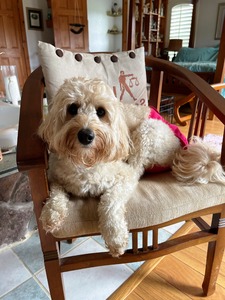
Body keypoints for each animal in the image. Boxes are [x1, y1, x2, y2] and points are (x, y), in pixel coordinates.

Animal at [38, 77, 225, 255]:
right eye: (72, 108)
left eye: (101, 111)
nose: (86, 135)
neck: (86, 161)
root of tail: (181, 148)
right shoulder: (55, 177)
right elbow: (56, 194)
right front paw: (51, 214)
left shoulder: (124, 178)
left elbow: (110, 201)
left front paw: (115, 237)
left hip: (147, 131)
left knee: (137, 168)